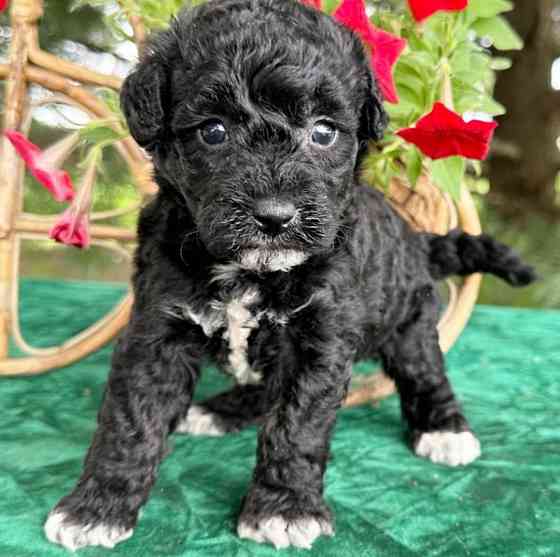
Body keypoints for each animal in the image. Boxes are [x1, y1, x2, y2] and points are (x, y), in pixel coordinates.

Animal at [43, 0, 532, 548]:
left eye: (323, 132)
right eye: (213, 130)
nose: (274, 216)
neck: (252, 270)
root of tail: (415, 239)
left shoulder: (319, 340)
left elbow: (297, 426)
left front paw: (284, 508)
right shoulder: (157, 325)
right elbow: (130, 419)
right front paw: (97, 506)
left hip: (411, 324)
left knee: (425, 372)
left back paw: (446, 430)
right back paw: (219, 411)